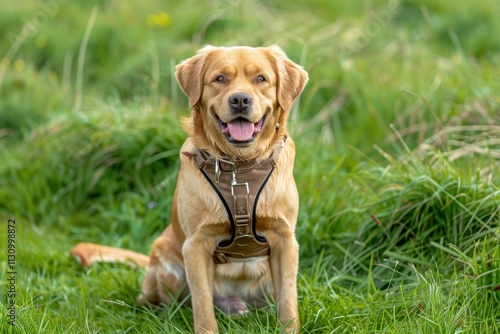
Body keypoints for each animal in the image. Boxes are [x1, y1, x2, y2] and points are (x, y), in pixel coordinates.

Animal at [71, 45, 308, 332]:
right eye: (219, 78)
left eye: (261, 78)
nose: (240, 100)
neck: (239, 169)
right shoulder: (196, 245)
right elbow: (203, 306)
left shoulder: (285, 240)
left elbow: (288, 303)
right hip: (165, 257)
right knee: (166, 301)